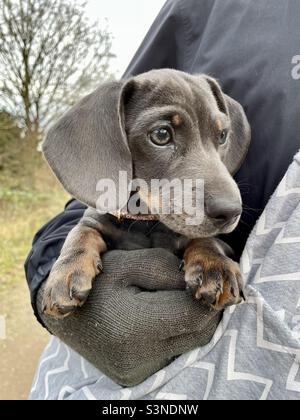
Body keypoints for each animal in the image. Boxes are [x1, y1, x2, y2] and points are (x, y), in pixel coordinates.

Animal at [40, 69, 251, 318]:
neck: (145, 222)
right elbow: (80, 233)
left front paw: (214, 264)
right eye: (161, 134)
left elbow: (207, 239)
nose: (231, 212)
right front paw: (67, 269)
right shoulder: (94, 219)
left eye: (222, 135)